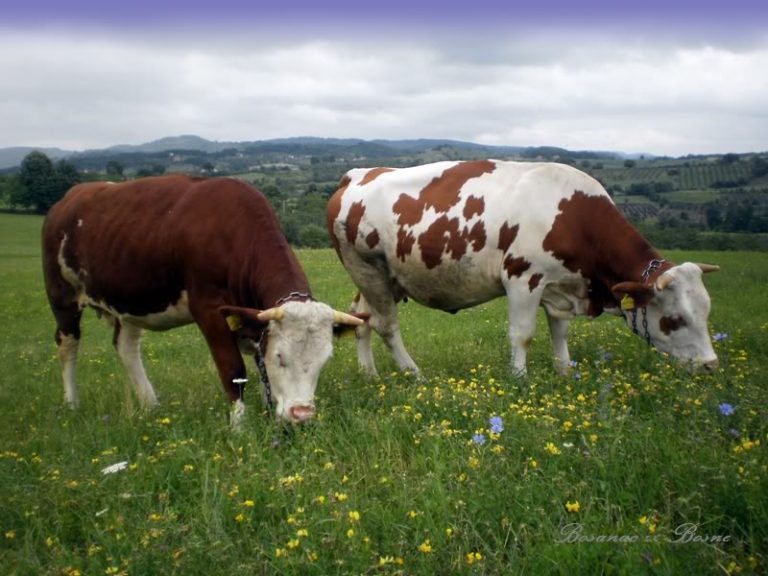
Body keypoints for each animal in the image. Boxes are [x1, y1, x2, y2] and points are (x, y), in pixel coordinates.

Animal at [42, 173, 364, 426]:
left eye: (324, 360)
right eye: (280, 357)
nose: (302, 414)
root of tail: (70, 196)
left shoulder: (252, 316)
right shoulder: (209, 310)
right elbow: (233, 370)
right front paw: (239, 427)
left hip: (129, 300)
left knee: (125, 347)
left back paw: (150, 404)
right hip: (62, 295)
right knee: (67, 344)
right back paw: (71, 404)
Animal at [326, 161, 720, 378]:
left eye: (706, 313)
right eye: (675, 320)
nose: (711, 365)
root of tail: (359, 174)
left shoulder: (563, 286)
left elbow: (560, 332)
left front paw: (565, 372)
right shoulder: (523, 277)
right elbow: (522, 334)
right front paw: (519, 378)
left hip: (382, 277)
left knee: (361, 318)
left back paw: (369, 374)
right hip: (367, 269)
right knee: (386, 325)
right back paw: (413, 372)